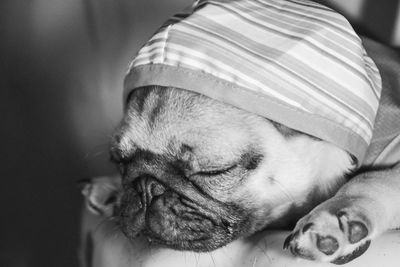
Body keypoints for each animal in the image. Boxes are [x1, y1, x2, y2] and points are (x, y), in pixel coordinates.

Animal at [81, 0, 400, 264]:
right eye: (119, 161)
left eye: (214, 171)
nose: (147, 188)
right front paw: (111, 188)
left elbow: (377, 178)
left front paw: (339, 216)